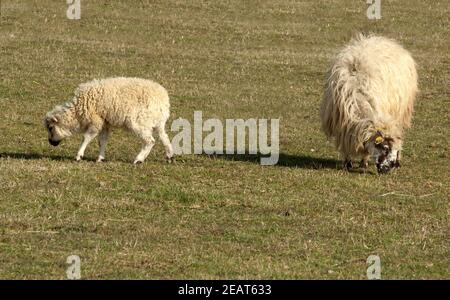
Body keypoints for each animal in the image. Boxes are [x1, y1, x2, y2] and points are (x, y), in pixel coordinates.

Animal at [43, 76, 174, 163]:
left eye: (50, 128)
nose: (51, 142)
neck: (77, 112)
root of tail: (163, 100)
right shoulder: (105, 123)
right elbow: (103, 141)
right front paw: (100, 158)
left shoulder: (96, 121)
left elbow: (86, 138)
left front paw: (79, 156)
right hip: (157, 123)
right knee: (164, 137)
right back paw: (169, 156)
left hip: (139, 122)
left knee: (150, 141)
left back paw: (138, 159)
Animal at [320, 34, 418, 173]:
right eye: (385, 148)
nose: (391, 168)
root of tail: (383, 39)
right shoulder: (342, 125)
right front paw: (347, 163)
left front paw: (363, 163)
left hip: (401, 111)